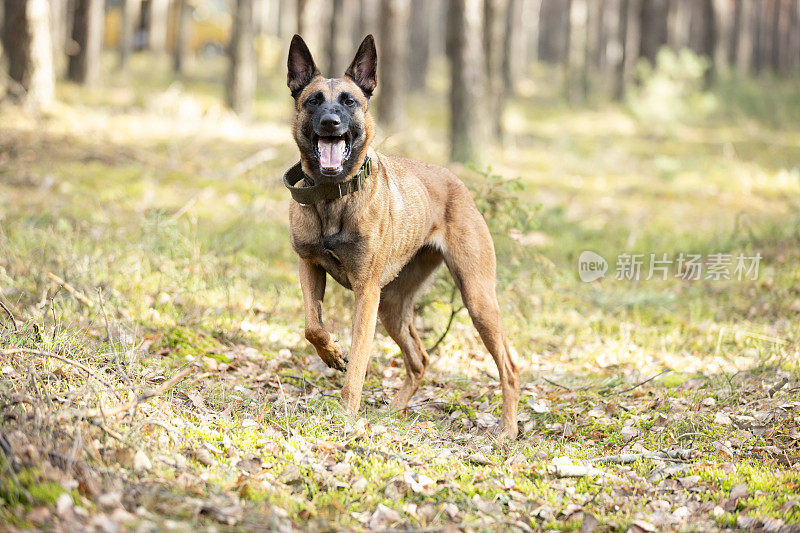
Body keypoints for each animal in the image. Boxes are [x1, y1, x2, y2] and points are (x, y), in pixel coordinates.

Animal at [284, 35, 520, 438]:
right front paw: (332, 353)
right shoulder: (309, 267)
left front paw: (345, 415)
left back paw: (506, 428)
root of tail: (457, 183)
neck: (334, 196)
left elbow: (359, 363)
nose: (331, 122)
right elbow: (312, 327)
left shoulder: (366, 293)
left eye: (349, 101)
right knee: (420, 359)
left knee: (509, 366)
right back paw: (392, 412)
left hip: (477, 298)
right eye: (313, 100)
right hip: (393, 305)